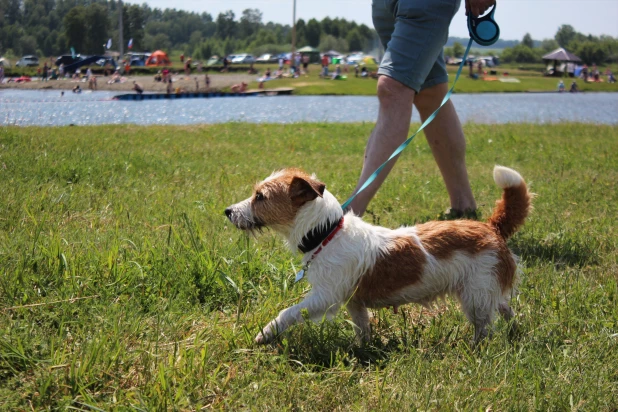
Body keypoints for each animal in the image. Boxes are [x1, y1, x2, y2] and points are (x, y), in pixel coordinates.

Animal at [224, 166, 532, 342]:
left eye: (260, 197)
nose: (227, 211)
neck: (325, 233)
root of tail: (491, 226)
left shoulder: (325, 296)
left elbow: (289, 312)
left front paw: (265, 333)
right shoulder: (354, 302)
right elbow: (362, 328)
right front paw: (363, 351)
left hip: (475, 296)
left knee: (484, 327)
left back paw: (477, 348)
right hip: (486, 289)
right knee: (504, 308)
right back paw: (514, 332)